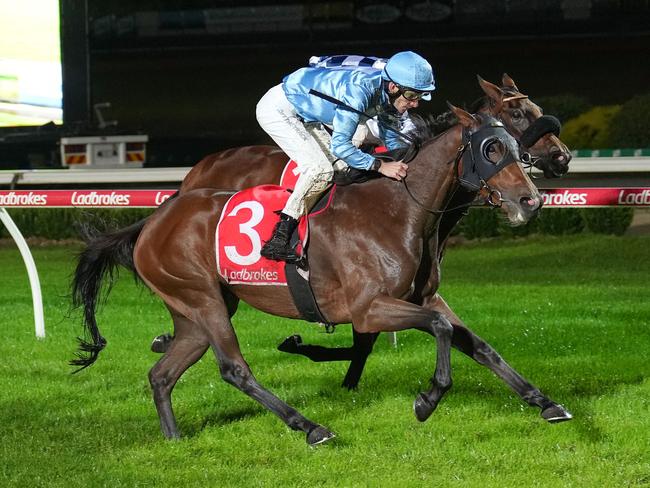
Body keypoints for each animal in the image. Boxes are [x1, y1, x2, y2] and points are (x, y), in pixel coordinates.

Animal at [69, 101, 568, 444]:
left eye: (515, 146)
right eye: (491, 147)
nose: (530, 201)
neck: (397, 210)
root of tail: (152, 221)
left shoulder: (422, 297)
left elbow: (479, 345)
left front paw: (546, 403)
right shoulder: (370, 308)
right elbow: (439, 329)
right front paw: (428, 400)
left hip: (196, 309)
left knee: (163, 372)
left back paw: (173, 436)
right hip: (203, 299)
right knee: (234, 369)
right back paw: (310, 427)